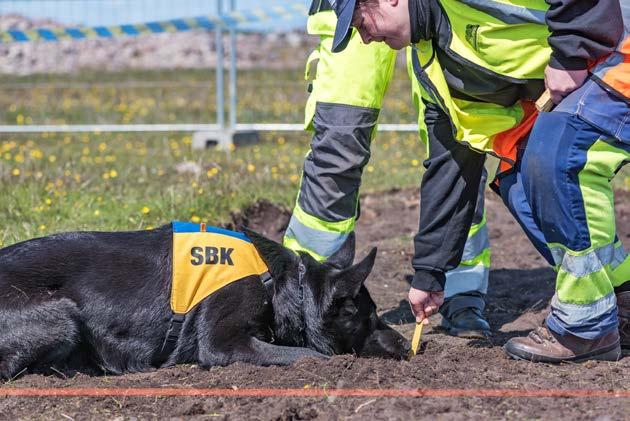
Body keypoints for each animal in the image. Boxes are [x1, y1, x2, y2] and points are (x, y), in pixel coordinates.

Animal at [0, 223, 410, 378]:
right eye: (369, 316)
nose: (408, 345)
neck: (278, 283)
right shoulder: (221, 343)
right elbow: (313, 355)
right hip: (63, 314)